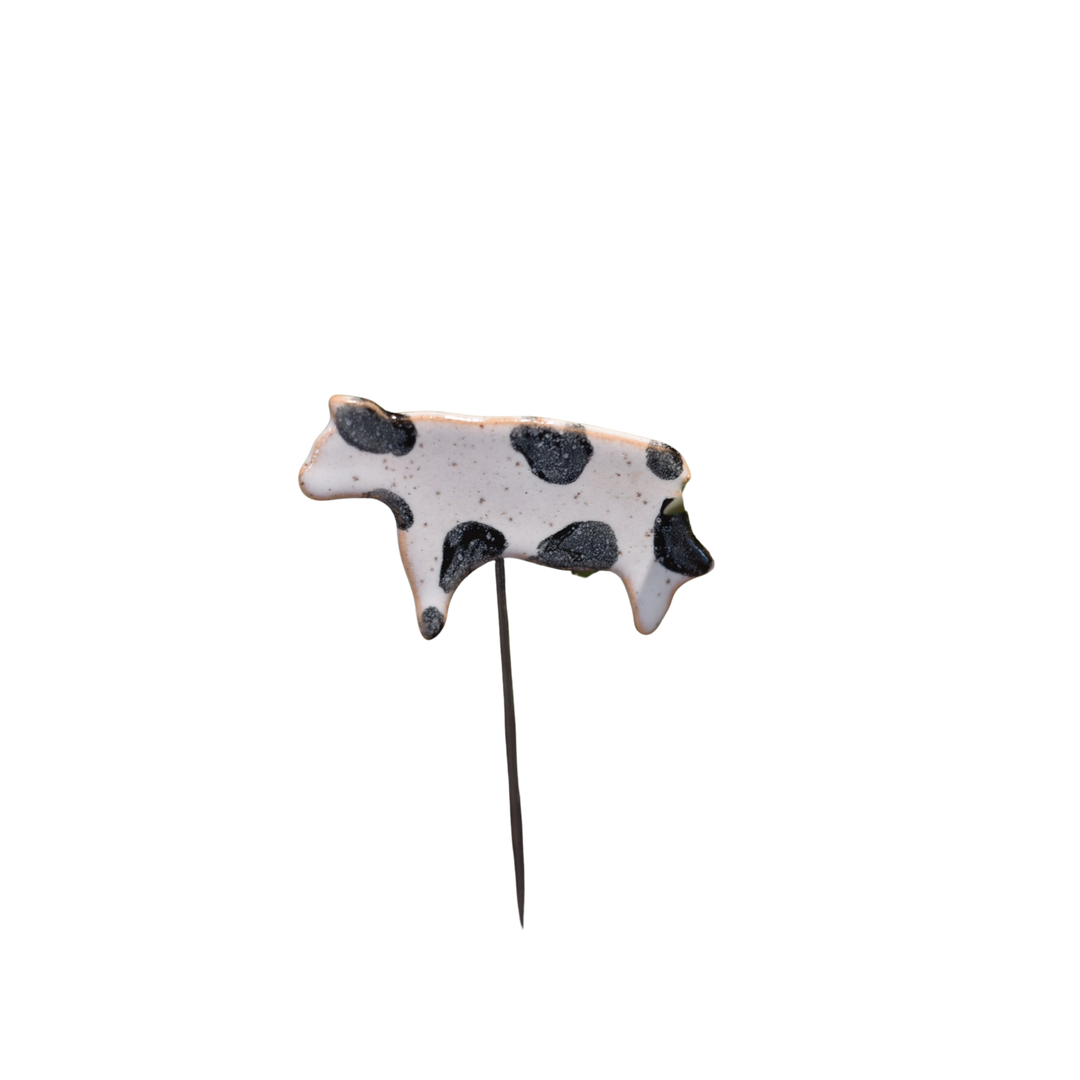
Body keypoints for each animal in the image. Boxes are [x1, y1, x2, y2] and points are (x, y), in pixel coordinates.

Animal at [295, 392, 715, 641]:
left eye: (321, 449)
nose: (302, 477)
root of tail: (677, 470)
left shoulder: (436, 534)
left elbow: (433, 588)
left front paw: (429, 627)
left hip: (647, 549)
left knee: (681, 571)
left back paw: (647, 624)